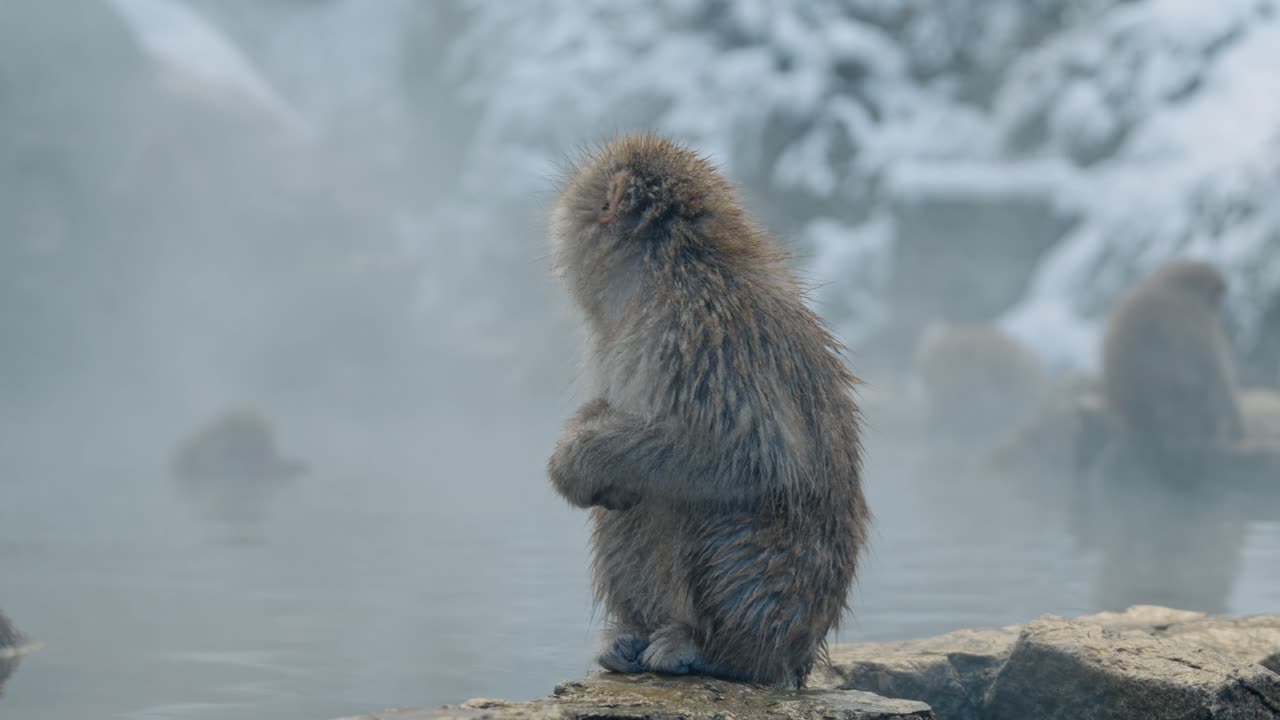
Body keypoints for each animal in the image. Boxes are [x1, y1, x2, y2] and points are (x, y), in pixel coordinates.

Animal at [545, 134, 868, 688]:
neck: (668, 265)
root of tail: (800, 657)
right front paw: (585, 435)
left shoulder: (697, 328)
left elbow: (751, 454)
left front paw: (578, 458)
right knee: (628, 506)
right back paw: (632, 634)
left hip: (775, 600)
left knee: (704, 504)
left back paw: (716, 652)